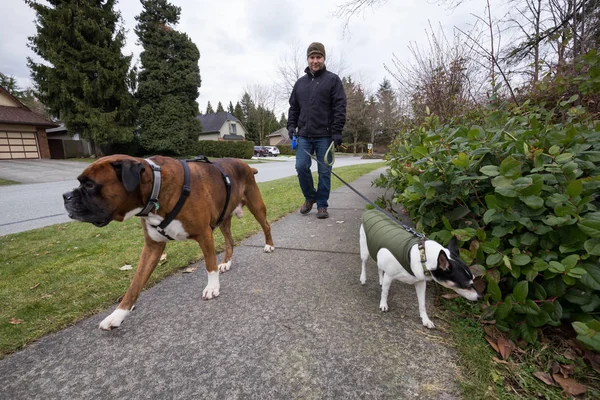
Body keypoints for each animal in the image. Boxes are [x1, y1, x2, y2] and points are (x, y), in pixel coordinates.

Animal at [62, 155, 274, 330]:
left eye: (90, 185)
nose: (65, 196)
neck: (155, 189)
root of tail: (245, 164)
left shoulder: (205, 235)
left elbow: (209, 265)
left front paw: (212, 287)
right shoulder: (152, 247)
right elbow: (135, 284)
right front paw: (118, 314)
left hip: (255, 205)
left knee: (266, 225)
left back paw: (269, 245)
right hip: (224, 218)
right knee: (230, 241)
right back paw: (226, 262)